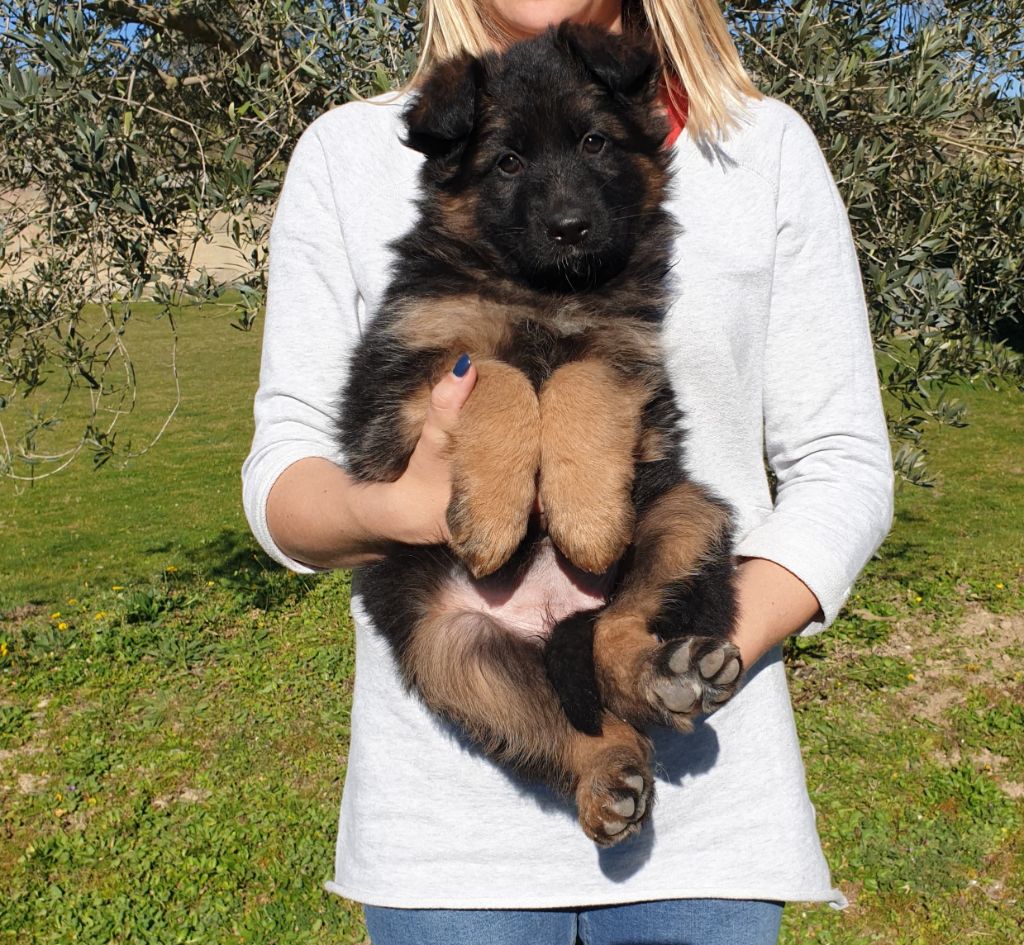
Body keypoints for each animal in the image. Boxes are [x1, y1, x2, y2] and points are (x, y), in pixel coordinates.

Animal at [339, 25, 741, 847]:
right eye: (507, 162)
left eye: (594, 142)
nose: (570, 229)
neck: (543, 289)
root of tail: (545, 616)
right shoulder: (403, 378)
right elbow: (501, 375)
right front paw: (495, 519)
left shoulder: (619, 349)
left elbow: (574, 383)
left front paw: (585, 520)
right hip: (454, 650)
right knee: (556, 720)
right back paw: (607, 773)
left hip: (684, 519)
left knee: (613, 634)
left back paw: (669, 674)